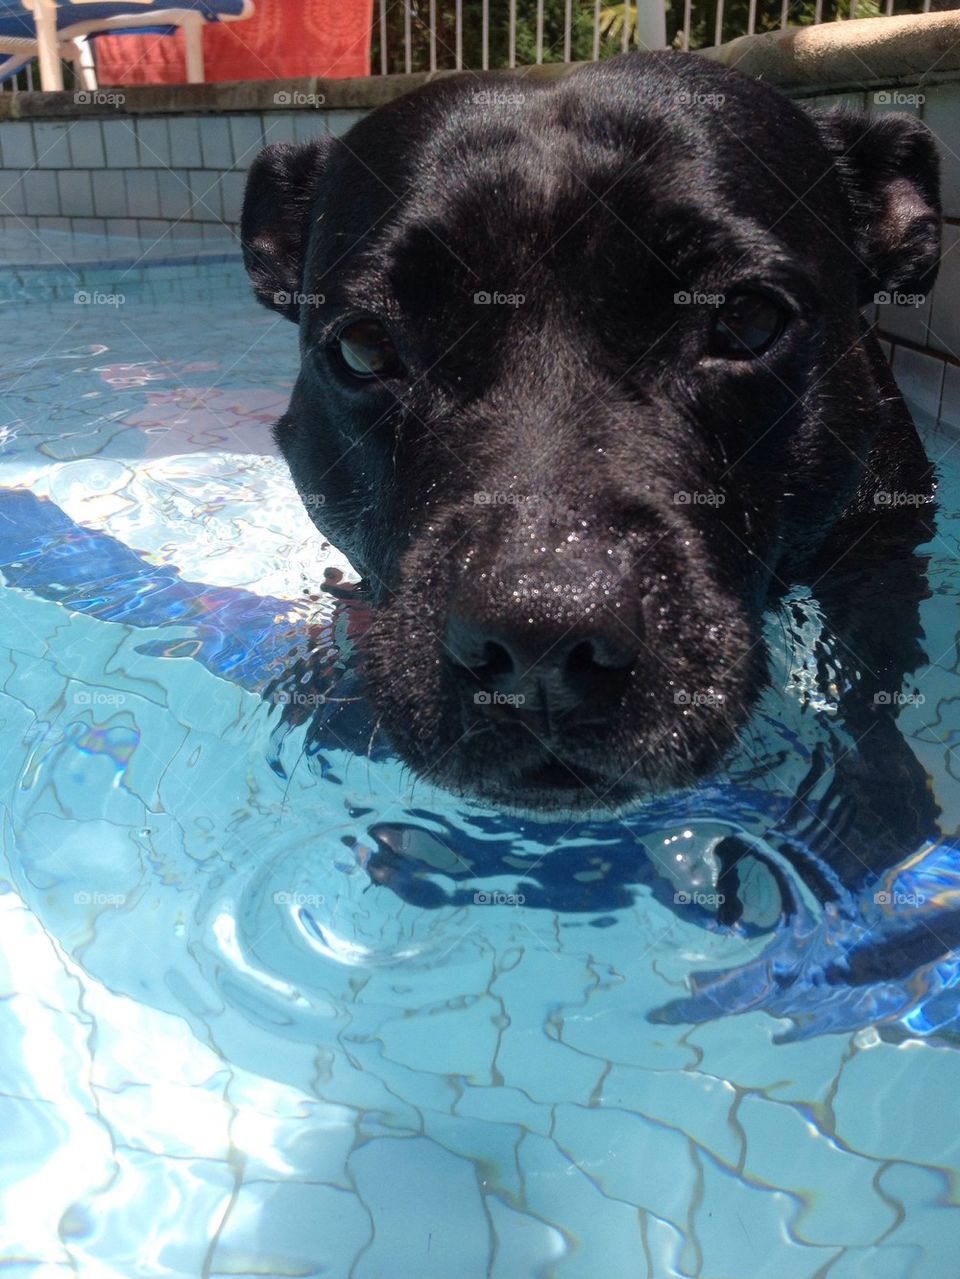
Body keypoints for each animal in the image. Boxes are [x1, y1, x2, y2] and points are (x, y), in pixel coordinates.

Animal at [239, 49, 940, 823]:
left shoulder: (884, 547)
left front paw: (875, 794)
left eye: (749, 319)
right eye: (364, 346)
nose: (538, 633)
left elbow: (874, 678)